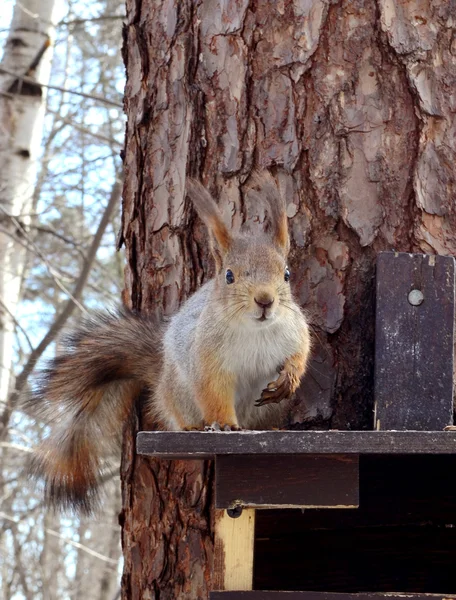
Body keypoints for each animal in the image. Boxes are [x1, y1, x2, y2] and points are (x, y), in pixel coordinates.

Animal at [29, 171, 310, 512]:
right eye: (229, 276)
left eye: (286, 274)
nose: (265, 301)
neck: (254, 330)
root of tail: (160, 374)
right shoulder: (206, 356)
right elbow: (213, 390)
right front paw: (225, 425)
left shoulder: (295, 330)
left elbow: (301, 353)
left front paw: (290, 377)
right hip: (177, 394)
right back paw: (194, 427)